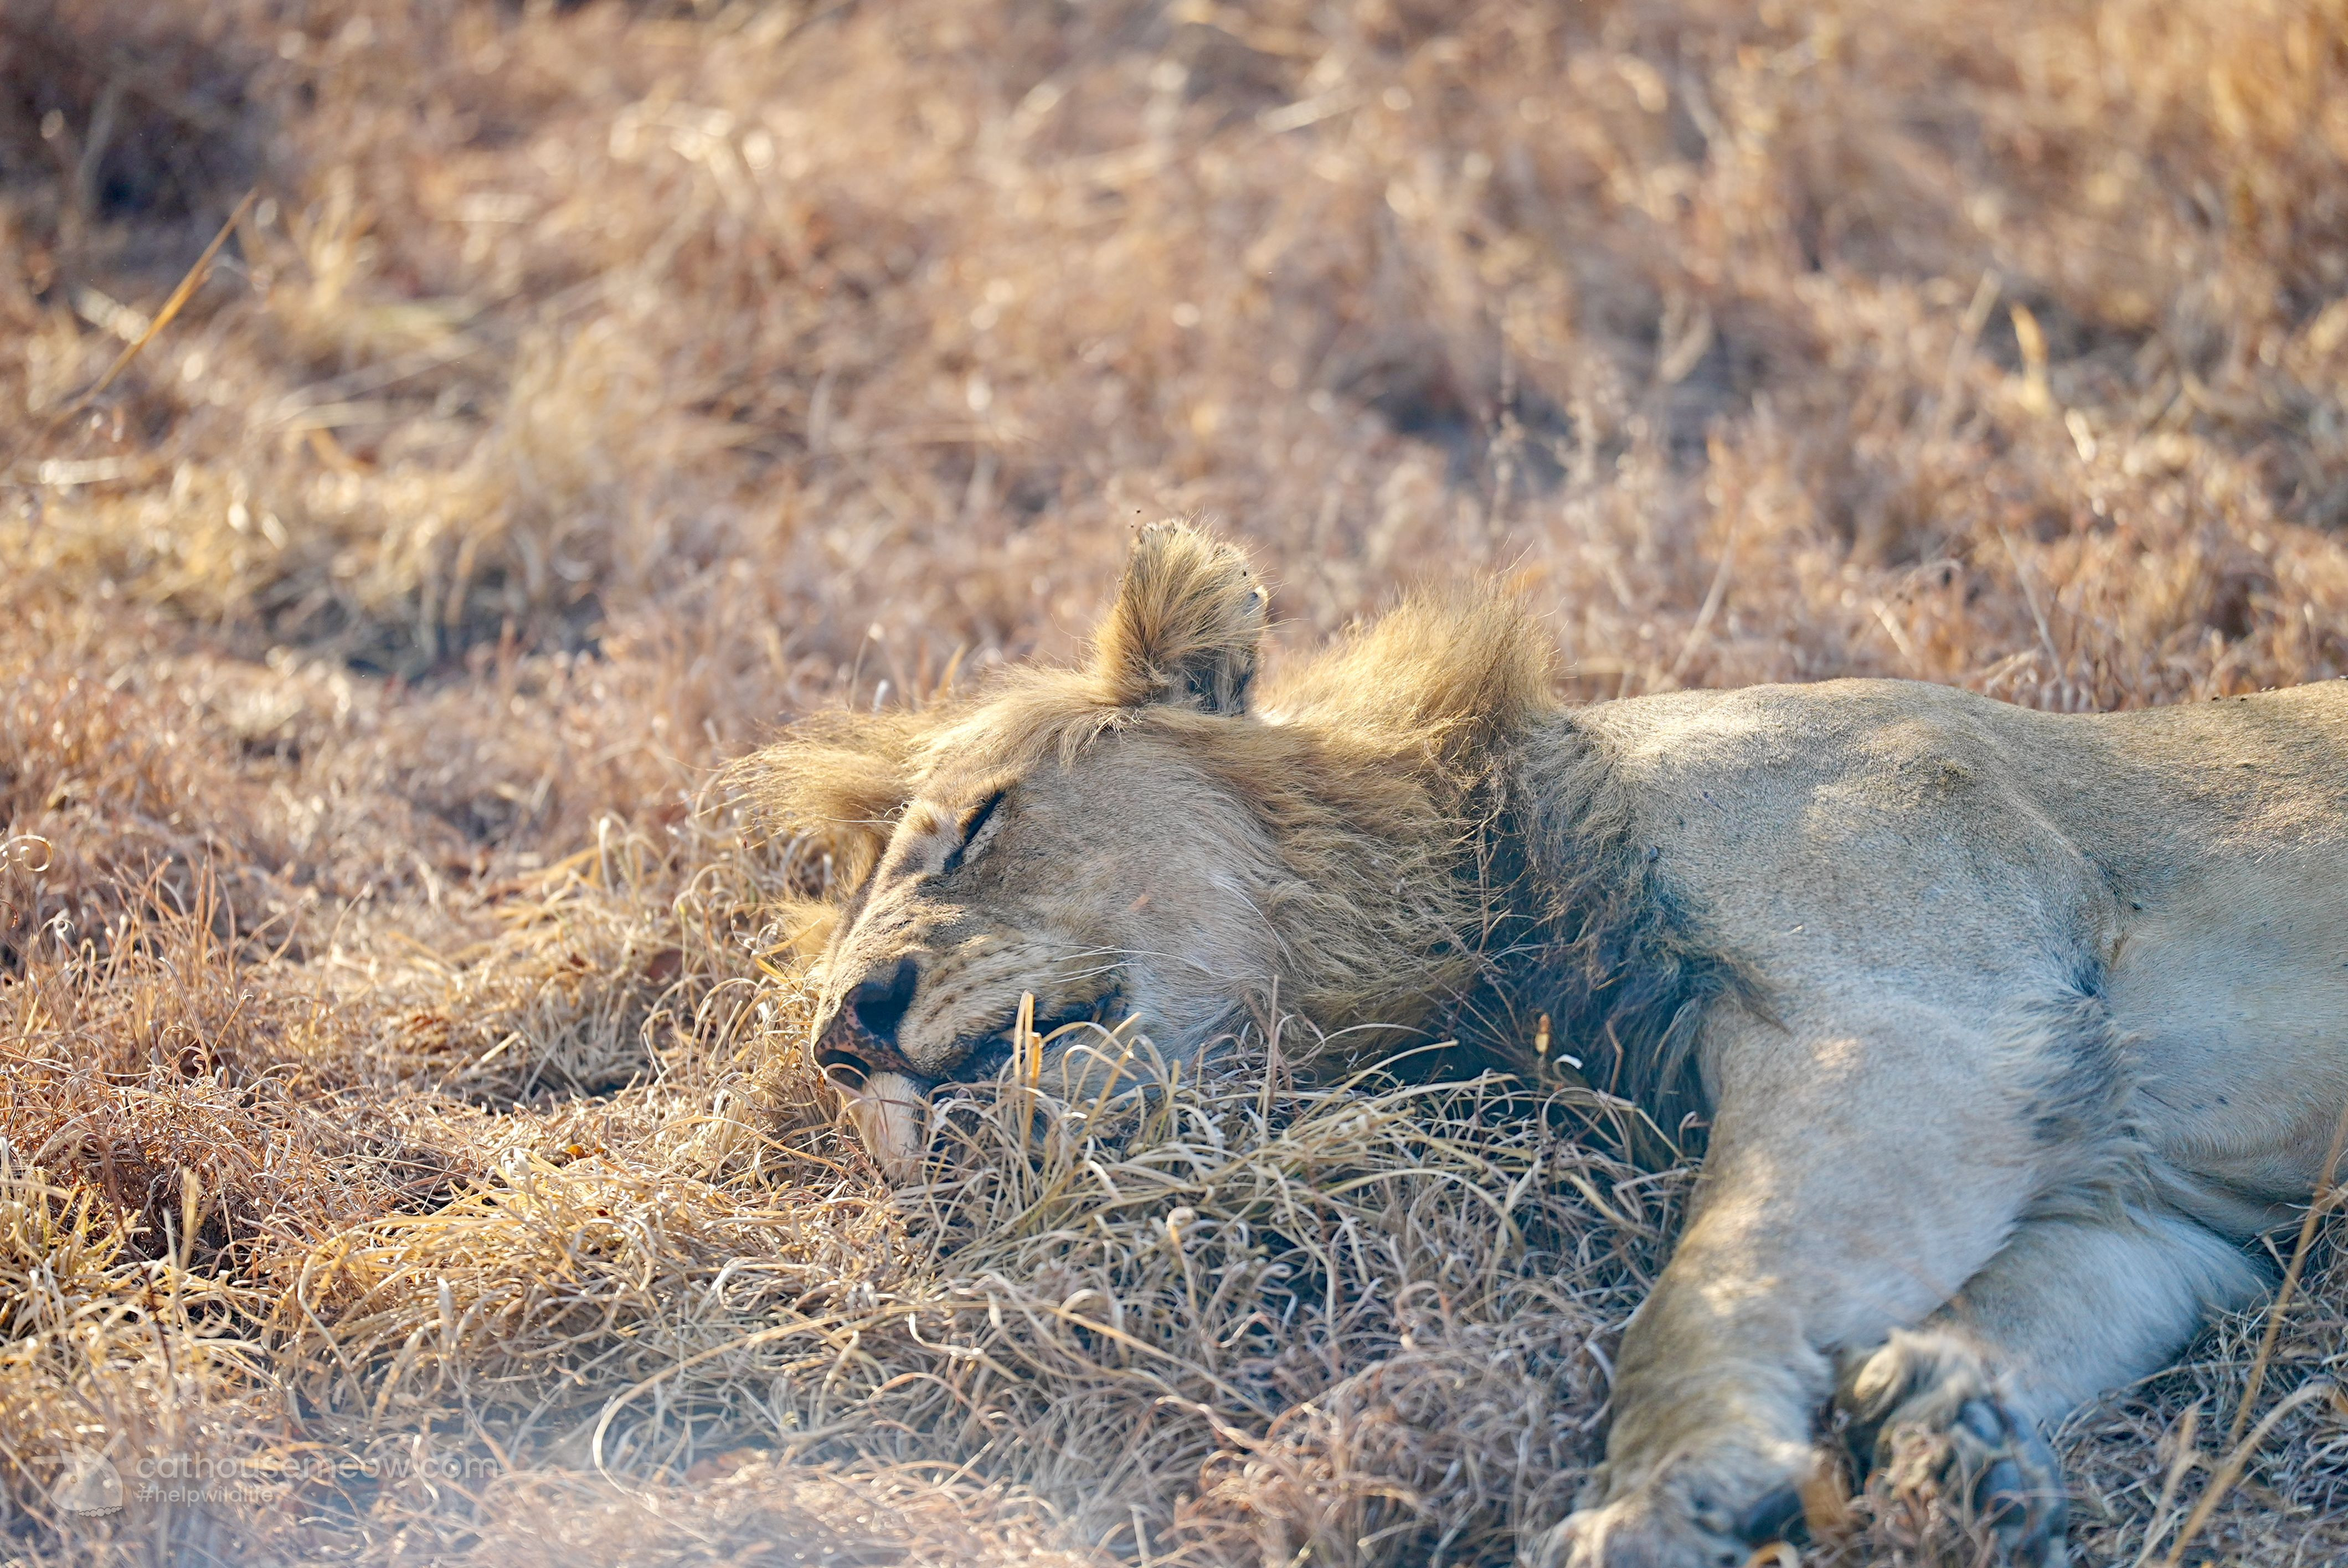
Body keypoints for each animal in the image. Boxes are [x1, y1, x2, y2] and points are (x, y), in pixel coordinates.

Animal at [744, 522, 2348, 1568]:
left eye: (977, 826)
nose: (842, 1034)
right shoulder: (2139, 1209)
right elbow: (2026, 1301)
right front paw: (1964, 1436)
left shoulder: (1922, 1014)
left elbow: (1706, 1291)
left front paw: (1664, 1500)